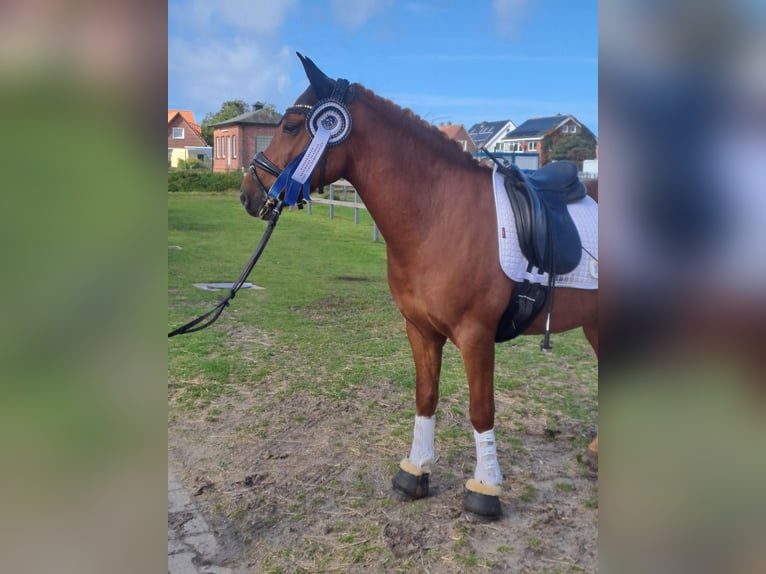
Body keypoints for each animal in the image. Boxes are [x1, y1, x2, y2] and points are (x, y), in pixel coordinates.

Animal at [239, 54, 598, 520]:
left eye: (290, 126)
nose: (248, 193)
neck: (437, 214)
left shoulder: (476, 336)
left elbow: (481, 410)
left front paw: (485, 490)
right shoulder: (420, 330)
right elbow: (426, 396)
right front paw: (416, 471)